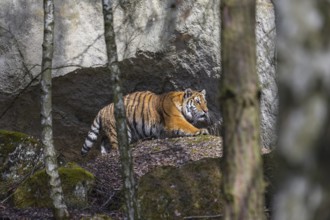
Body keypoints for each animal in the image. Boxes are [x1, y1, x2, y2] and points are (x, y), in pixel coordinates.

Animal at [81, 88, 209, 156]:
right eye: (197, 102)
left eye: (205, 102)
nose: (206, 111)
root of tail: (102, 109)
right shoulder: (175, 120)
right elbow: (188, 126)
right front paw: (201, 130)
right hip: (120, 133)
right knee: (115, 147)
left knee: (103, 139)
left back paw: (104, 153)